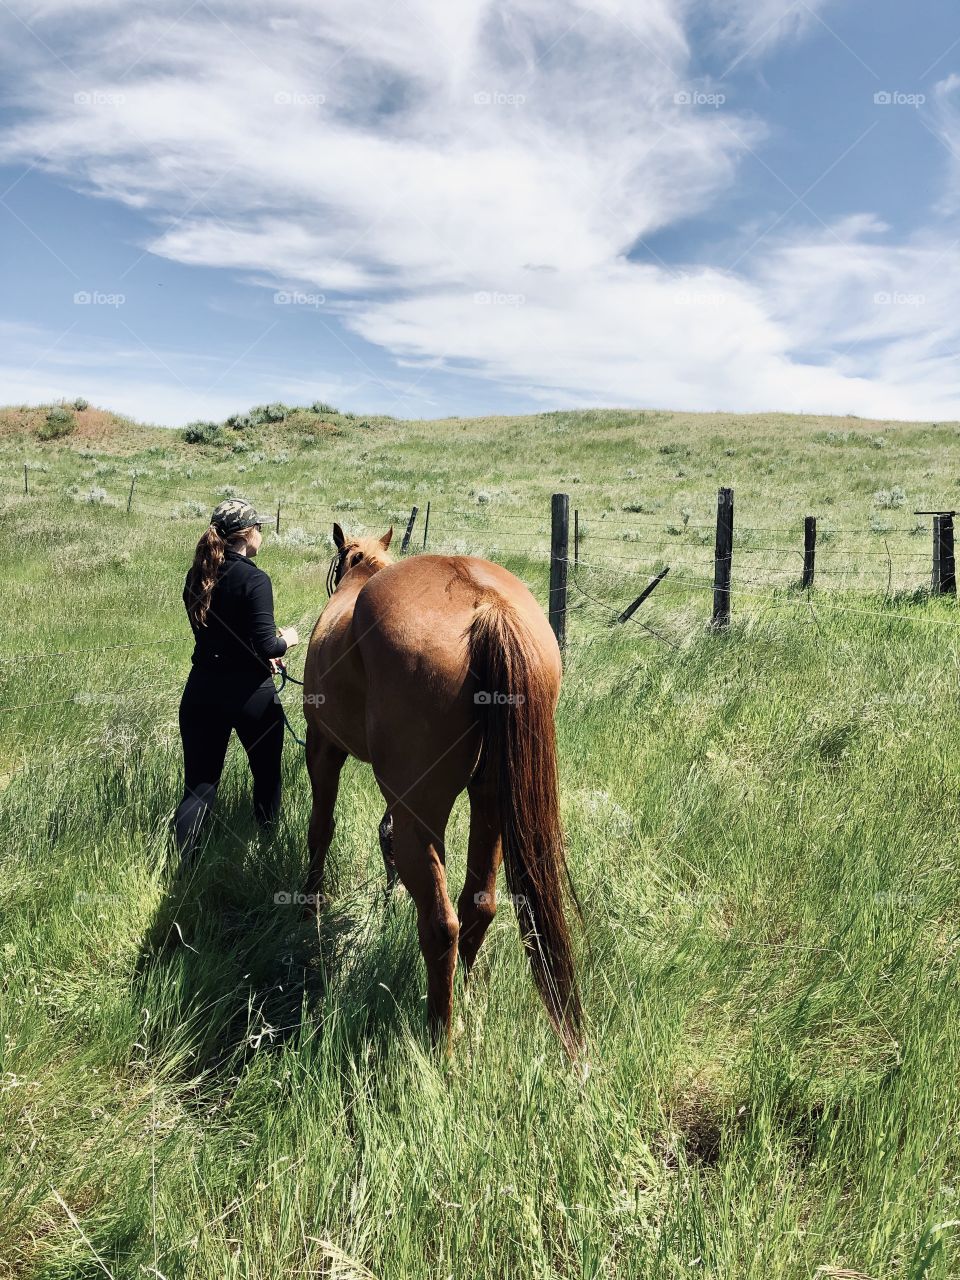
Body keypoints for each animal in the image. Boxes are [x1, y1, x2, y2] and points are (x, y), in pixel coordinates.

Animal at [302, 519, 586, 1049]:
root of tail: (486, 605)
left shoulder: (322, 746)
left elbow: (320, 829)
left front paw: (308, 905)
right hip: (490, 802)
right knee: (479, 906)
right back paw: (466, 1001)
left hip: (423, 811)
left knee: (440, 924)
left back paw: (439, 1040)